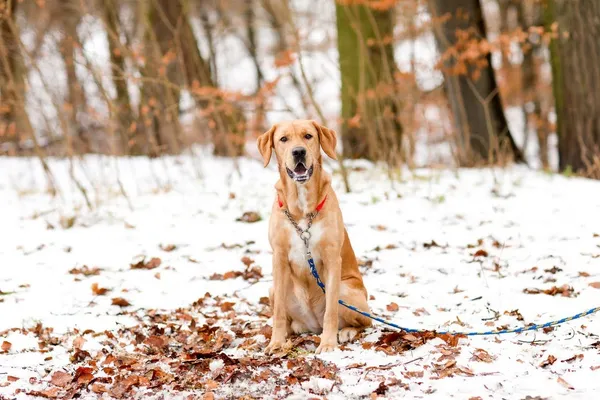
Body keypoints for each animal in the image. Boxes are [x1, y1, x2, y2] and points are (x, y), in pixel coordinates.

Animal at [256, 119, 372, 354]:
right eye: (283, 139)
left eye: (308, 136)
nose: (298, 152)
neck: (301, 209)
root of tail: (313, 325)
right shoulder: (278, 257)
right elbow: (279, 312)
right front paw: (276, 342)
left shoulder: (332, 258)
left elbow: (331, 311)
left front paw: (328, 344)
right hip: (274, 289)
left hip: (346, 290)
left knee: (366, 321)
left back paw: (345, 332)